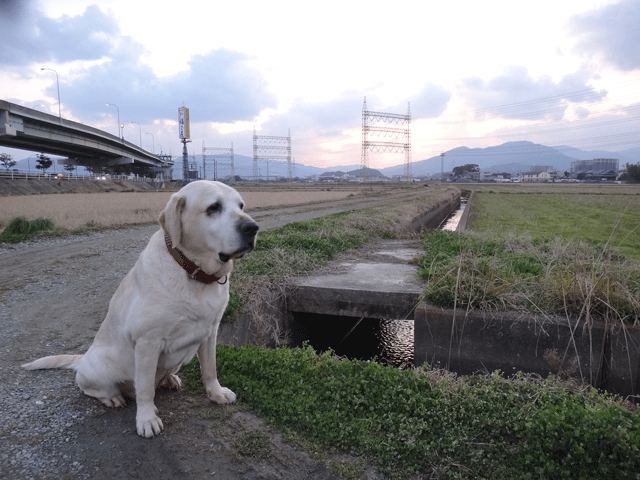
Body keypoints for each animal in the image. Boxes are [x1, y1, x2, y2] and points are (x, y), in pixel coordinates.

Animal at [23, 181, 258, 438]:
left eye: (241, 205)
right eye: (213, 208)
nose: (253, 228)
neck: (193, 273)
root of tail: (83, 357)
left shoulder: (210, 332)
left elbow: (210, 369)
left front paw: (216, 393)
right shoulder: (147, 342)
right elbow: (145, 389)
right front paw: (146, 419)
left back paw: (169, 380)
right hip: (99, 369)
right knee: (96, 388)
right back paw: (113, 398)